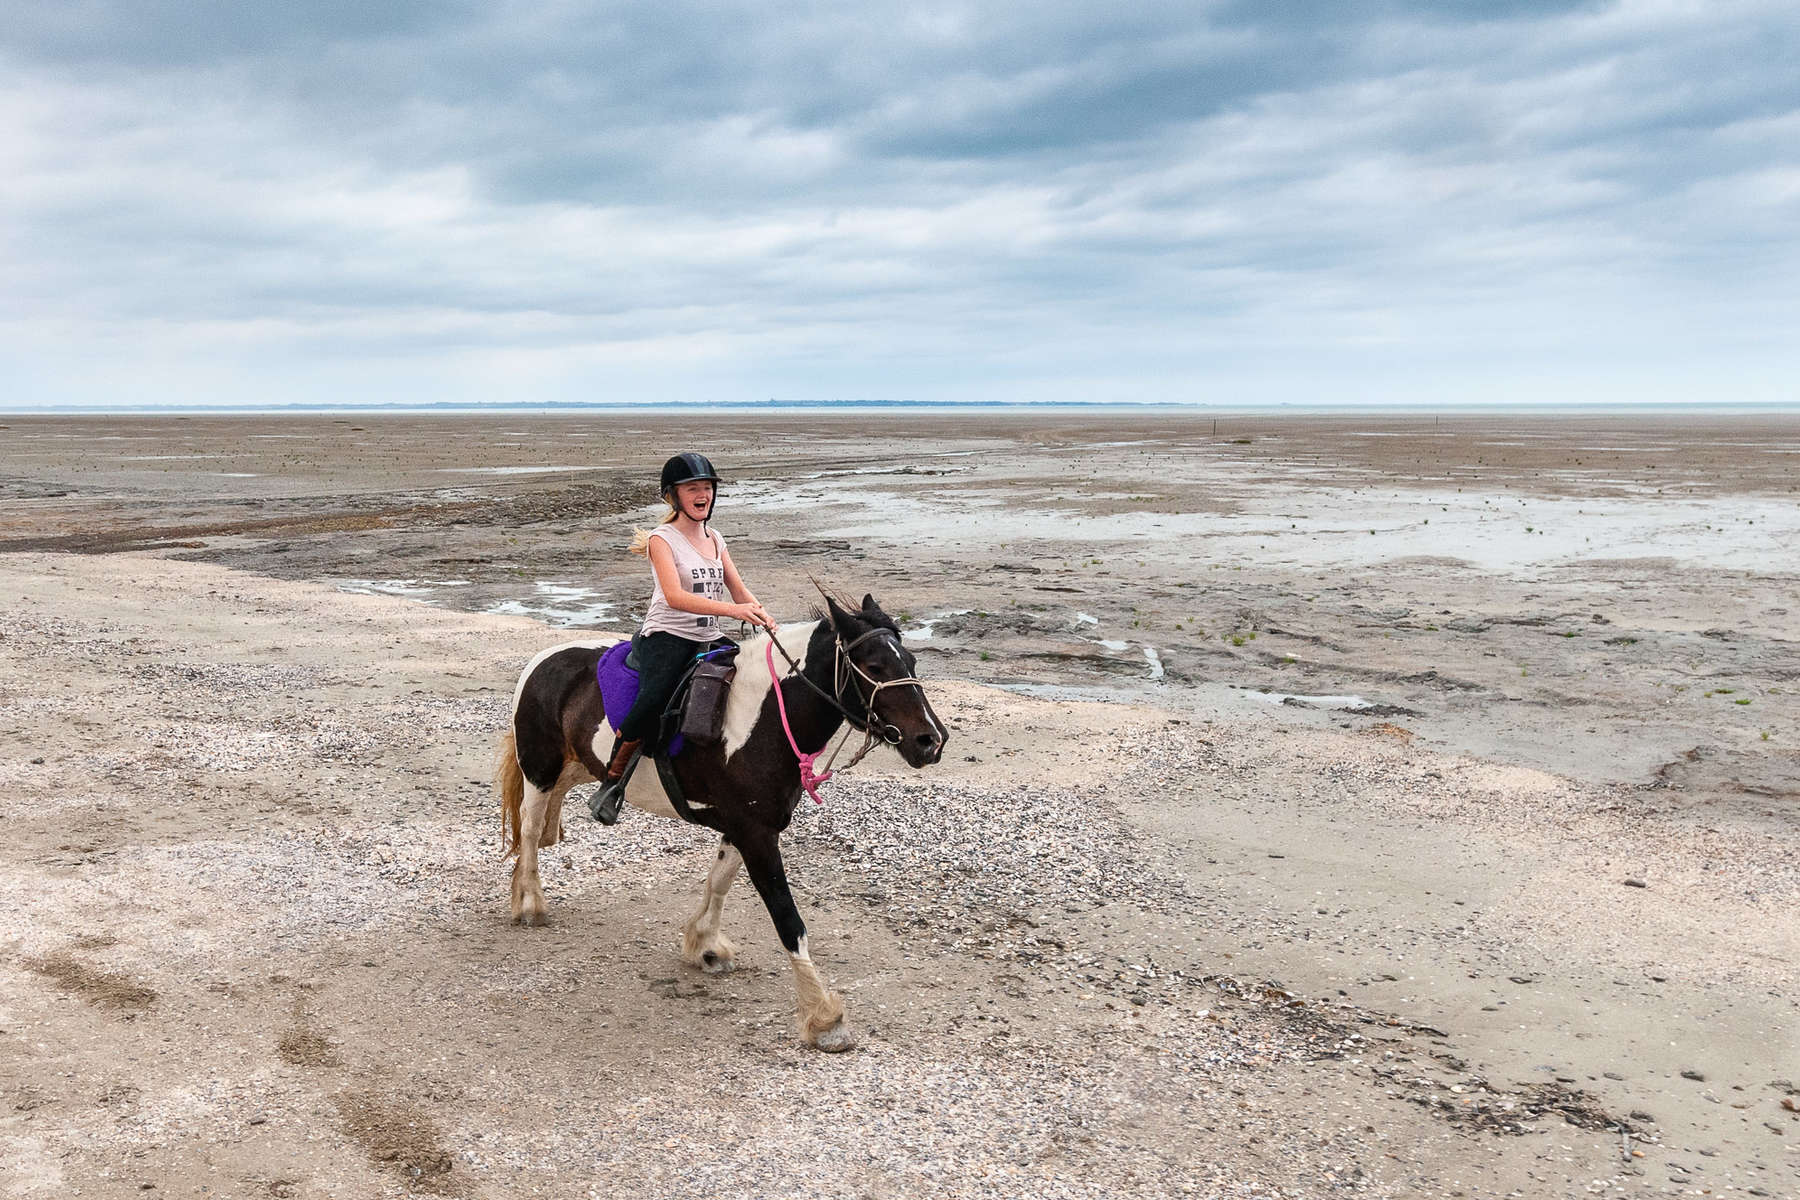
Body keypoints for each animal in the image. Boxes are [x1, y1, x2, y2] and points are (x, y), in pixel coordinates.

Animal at [493, 590, 943, 1050]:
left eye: (910, 660)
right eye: (873, 667)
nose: (931, 741)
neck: (762, 719)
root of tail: (542, 660)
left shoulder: (747, 825)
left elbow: (719, 880)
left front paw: (704, 944)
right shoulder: (757, 834)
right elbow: (788, 919)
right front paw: (824, 1017)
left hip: (575, 768)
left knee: (542, 827)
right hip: (540, 769)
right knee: (530, 829)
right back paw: (530, 903)